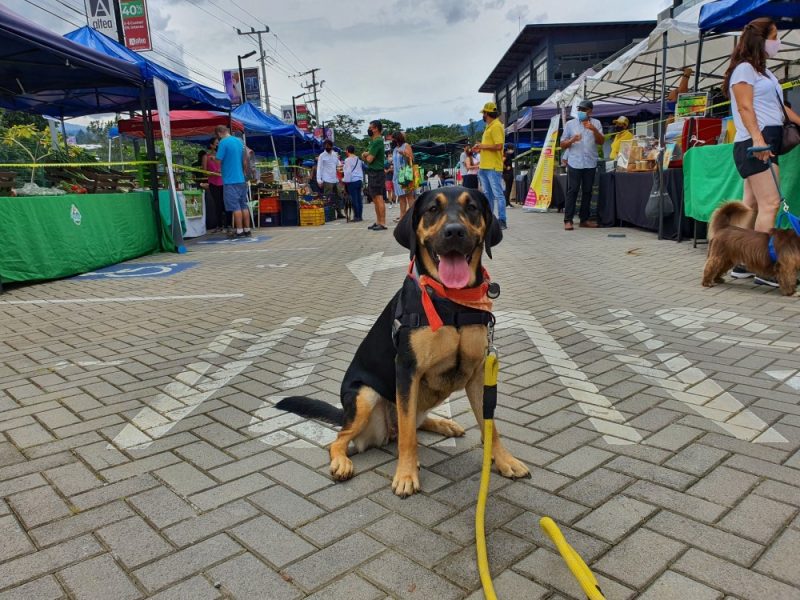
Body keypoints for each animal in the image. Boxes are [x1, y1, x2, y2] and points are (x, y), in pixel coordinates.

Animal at [276, 185, 532, 494]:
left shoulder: (479, 373)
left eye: (471, 207)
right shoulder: (407, 371)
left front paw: (504, 460)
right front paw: (407, 474)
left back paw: (445, 424)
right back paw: (342, 461)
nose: (455, 232)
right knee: (345, 438)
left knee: (412, 423)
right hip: (365, 397)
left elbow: (491, 426)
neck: (452, 302)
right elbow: (408, 437)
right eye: (432, 209)